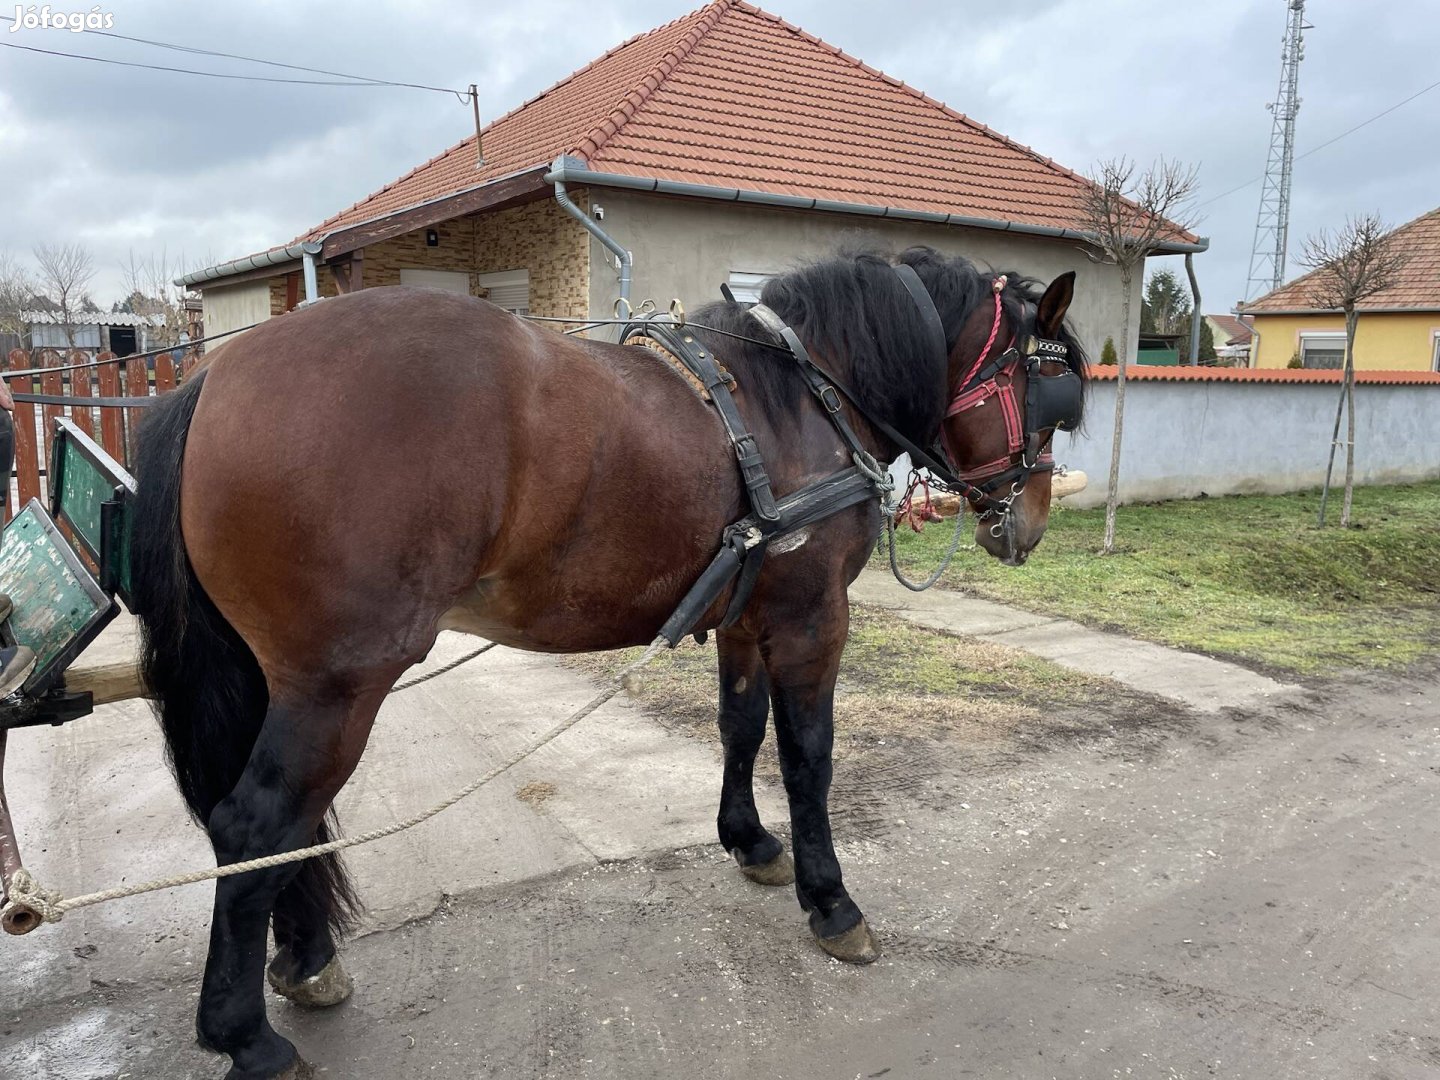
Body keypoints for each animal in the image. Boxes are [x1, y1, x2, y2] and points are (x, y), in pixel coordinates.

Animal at [129, 247, 1082, 1080]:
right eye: (1050, 389)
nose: (1028, 520)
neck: (801, 399)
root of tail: (216, 375)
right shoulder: (813, 621)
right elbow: (808, 759)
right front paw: (831, 901)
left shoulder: (746, 619)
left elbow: (740, 729)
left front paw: (749, 840)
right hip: (336, 685)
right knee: (254, 828)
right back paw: (246, 1036)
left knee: (270, 836)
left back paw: (303, 960)